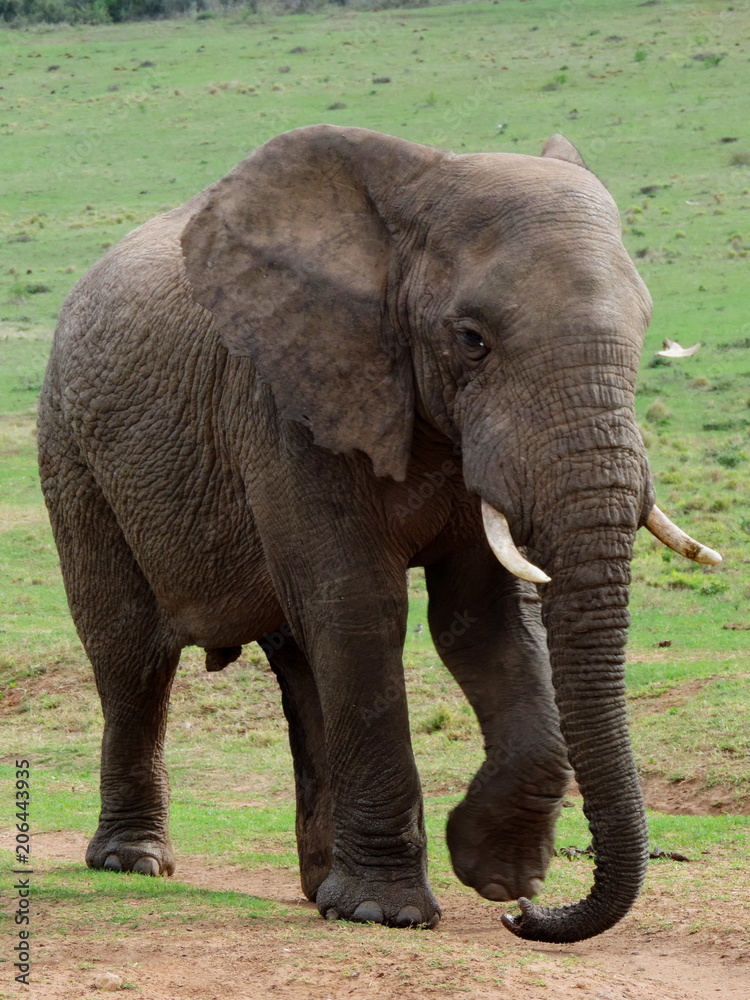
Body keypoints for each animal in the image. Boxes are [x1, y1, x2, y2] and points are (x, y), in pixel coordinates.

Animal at [37, 125, 720, 943]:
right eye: (471, 340)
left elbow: (482, 622)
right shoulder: (289, 401)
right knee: (132, 656)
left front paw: (496, 873)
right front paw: (387, 913)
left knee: (299, 660)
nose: (526, 917)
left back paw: (317, 886)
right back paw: (134, 864)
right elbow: (361, 608)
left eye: (645, 332)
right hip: (72, 454)